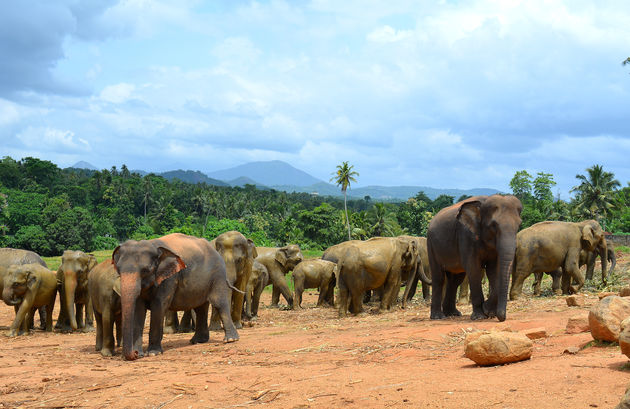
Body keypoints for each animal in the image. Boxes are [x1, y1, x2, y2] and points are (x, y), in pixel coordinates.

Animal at [428, 194, 524, 322]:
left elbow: (494, 270)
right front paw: (480, 316)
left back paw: (453, 313)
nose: (501, 318)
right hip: (431, 245)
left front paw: (490, 312)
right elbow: (474, 269)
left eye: (519, 225)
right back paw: (438, 317)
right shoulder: (466, 235)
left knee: (455, 280)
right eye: (493, 225)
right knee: (439, 278)